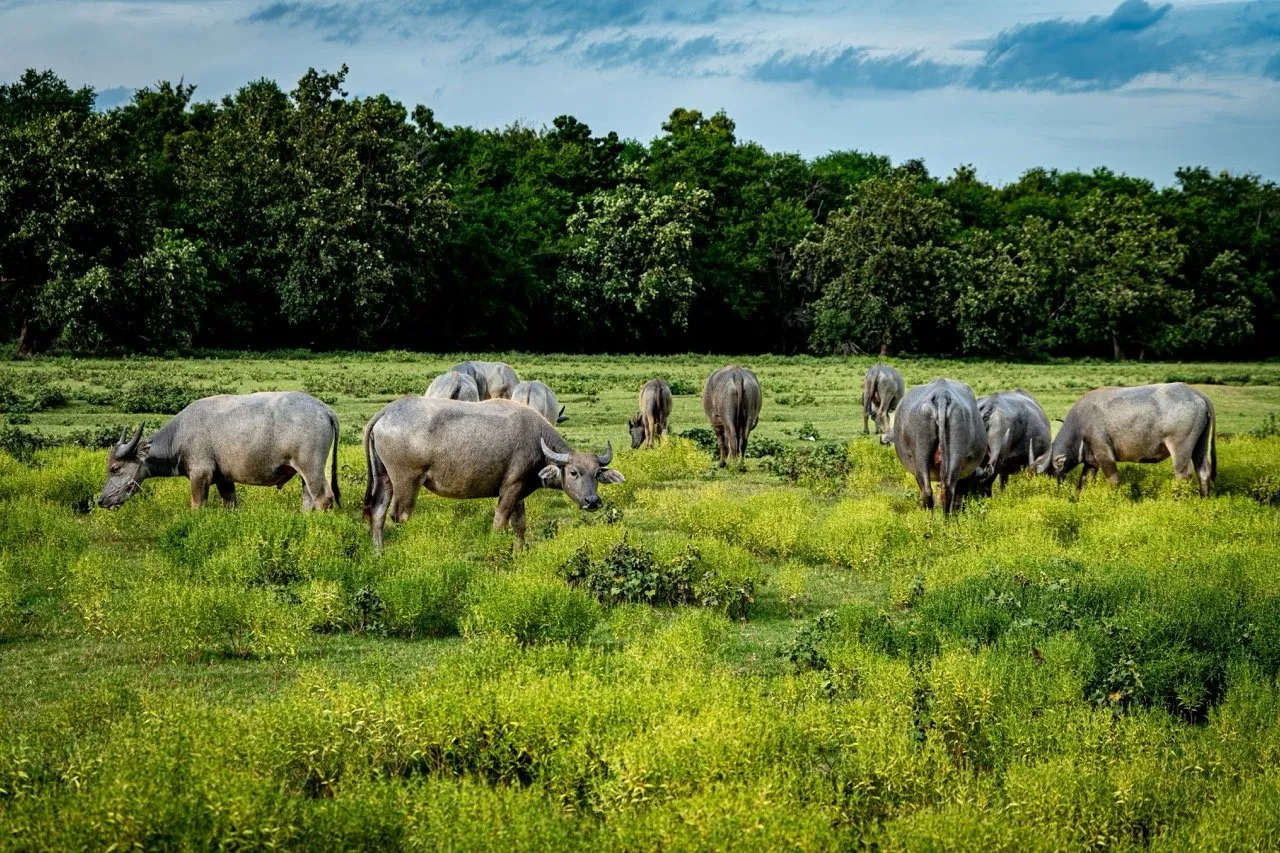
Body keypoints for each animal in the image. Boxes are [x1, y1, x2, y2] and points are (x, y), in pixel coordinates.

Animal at [98, 391, 340, 511]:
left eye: (115, 469)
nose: (101, 500)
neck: (179, 436)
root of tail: (324, 409)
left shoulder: (200, 475)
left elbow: (197, 506)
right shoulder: (225, 480)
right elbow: (230, 505)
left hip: (311, 468)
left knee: (324, 498)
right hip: (305, 473)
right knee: (308, 500)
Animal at [362, 397, 623, 549]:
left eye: (596, 474)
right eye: (573, 472)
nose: (592, 501)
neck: (537, 441)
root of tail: (386, 412)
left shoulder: (518, 491)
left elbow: (519, 526)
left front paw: (519, 552)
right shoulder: (510, 489)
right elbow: (499, 523)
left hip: (383, 478)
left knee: (377, 512)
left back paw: (379, 552)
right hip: (407, 482)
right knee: (400, 515)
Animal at [1032, 382, 1216, 496]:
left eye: (1042, 474)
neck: (1081, 426)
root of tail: (1198, 395)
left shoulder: (1105, 456)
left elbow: (1114, 481)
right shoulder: (1091, 463)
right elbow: (1084, 482)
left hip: (1180, 448)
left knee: (1183, 475)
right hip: (1201, 444)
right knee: (1203, 471)